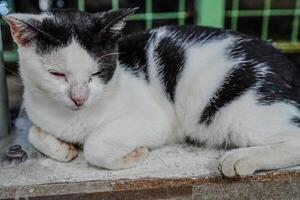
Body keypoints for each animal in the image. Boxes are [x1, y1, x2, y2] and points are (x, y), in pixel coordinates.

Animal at [3, 7, 300, 177]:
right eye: (57, 74)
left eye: (97, 73)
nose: (79, 98)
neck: (72, 119)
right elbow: (33, 132)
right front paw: (62, 147)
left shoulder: (155, 121)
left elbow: (95, 145)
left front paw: (133, 155)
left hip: (232, 110)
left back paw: (241, 159)